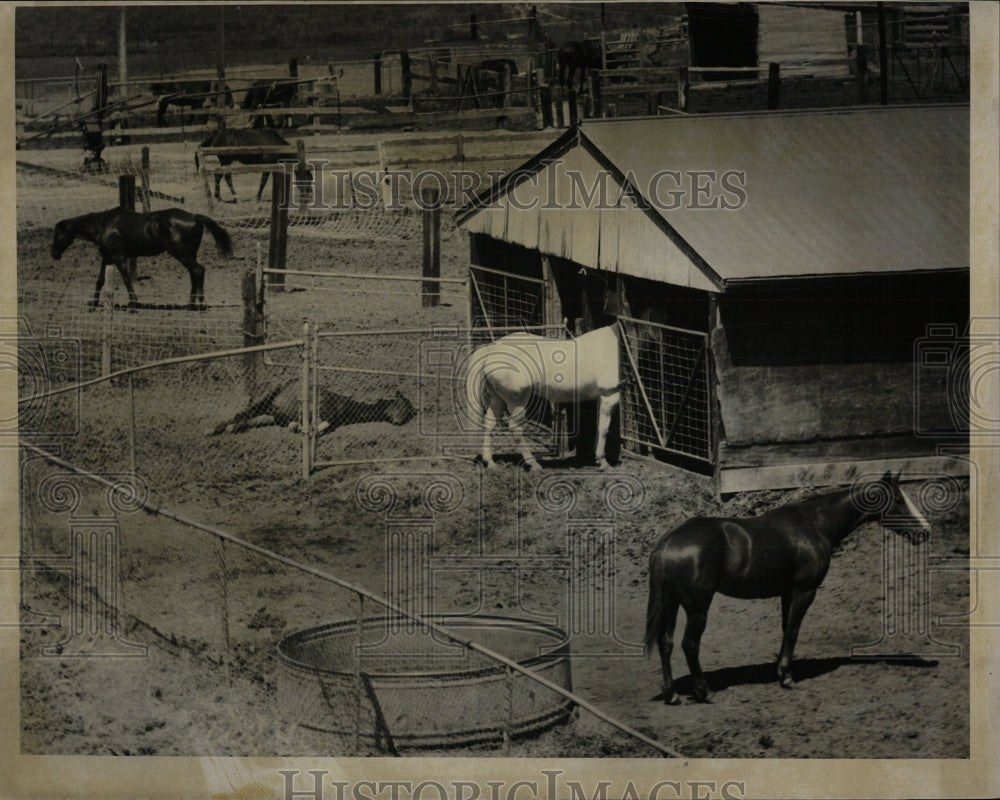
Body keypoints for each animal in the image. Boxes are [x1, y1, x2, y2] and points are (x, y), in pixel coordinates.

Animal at [51, 206, 234, 310]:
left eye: (57, 234)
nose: (53, 254)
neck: (105, 224)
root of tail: (193, 216)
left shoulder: (119, 257)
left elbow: (126, 279)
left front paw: (133, 303)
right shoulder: (107, 257)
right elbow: (100, 281)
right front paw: (93, 304)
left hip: (182, 254)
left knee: (199, 270)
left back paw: (200, 304)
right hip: (188, 255)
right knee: (194, 273)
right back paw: (191, 304)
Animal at [209, 376, 416, 434]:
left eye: (410, 413)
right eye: (402, 405)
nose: (399, 421)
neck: (342, 405)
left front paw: (296, 427)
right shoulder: (317, 409)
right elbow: (319, 425)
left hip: (265, 412)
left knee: (245, 419)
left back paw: (232, 428)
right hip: (263, 399)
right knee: (239, 414)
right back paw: (212, 429)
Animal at [466, 324, 620, 472]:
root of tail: (492, 348)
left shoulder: (601, 397)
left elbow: (599, 427)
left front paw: (597, 459)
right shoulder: (610, 395)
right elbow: (604, 429)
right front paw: (604, 463)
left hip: (497, 398)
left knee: (489, 424)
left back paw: (490, 463)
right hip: (517, 400)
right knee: (516, 429)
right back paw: (534, 464)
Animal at [644, 472, 932, 704]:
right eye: (898, 499)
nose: (925, 531)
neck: (815, 524)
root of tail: (668, 543)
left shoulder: (787, 592)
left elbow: (785, 628)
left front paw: (779, 671)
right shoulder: (805, 591)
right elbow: (793, 630)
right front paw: (786, 677)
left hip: (672, 604)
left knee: (666, 643)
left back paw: (672, 695)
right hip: (697, 608)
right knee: (689, 644)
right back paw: (703, 691)